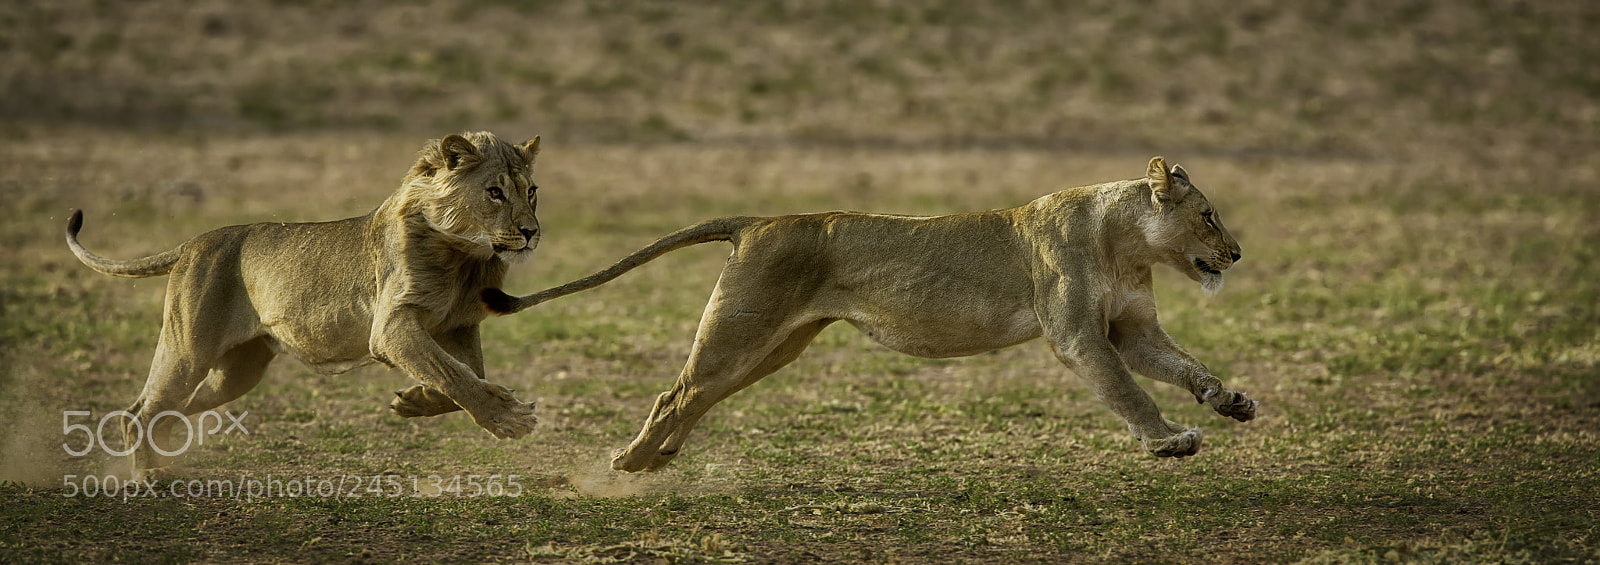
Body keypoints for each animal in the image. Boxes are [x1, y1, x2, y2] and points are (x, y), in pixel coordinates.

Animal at [66, 131, 543, 477]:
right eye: (495, 192)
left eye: (532, 191)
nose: (532, 232)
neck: (466, 257)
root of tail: (191, 243)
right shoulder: (391, 327)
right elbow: (453, 374)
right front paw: (508, 418)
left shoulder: (457, 326)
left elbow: (462, 375)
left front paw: (415, 401)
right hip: (188, 349)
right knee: (138, 412)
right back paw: (147, 478)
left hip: (239, 372)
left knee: (172, 411)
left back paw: (161, 462)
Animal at [484, 156, 1258, 472]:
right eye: (1208, 214)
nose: (1238, 252)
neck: (1127, 243)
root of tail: (760, 219)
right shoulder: (1076, 334)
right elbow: (1129, 390)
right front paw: (1170, 441)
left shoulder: (1133, 327)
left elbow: (1182, 365)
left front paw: (1231, 401)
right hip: (743, 328)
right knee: (677, 391)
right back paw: (632, 459)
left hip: (775, 346)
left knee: (695, 395)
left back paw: (654, 459)